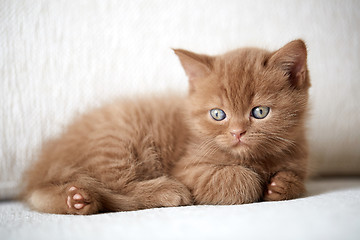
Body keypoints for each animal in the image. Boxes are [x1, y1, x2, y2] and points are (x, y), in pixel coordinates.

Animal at [23, 39, 310, 216]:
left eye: (260, 112)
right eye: (218, 114)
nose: (237, 133)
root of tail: (46, 162)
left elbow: (296, 179)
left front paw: (281, 184)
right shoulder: (188, 169)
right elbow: (240, 179)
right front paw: (256, 181)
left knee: (43, 195)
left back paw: (76, 200)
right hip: (116, 142)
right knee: (118, 190)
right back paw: (165, 192)